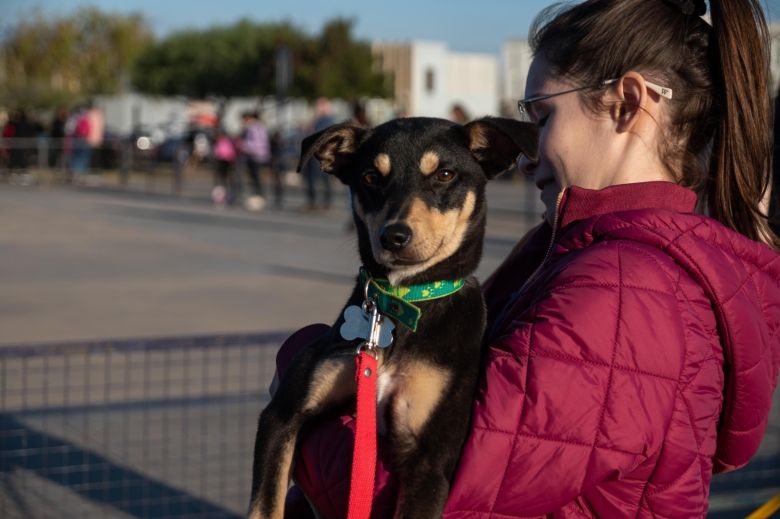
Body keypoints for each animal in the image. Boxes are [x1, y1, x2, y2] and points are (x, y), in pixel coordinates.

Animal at [248, 116, 536, 516]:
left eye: (445, 174)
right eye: (371, 177)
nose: (394, 237)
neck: (400, 304)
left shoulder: (430, 461)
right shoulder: (282, 415)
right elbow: (265, 504)